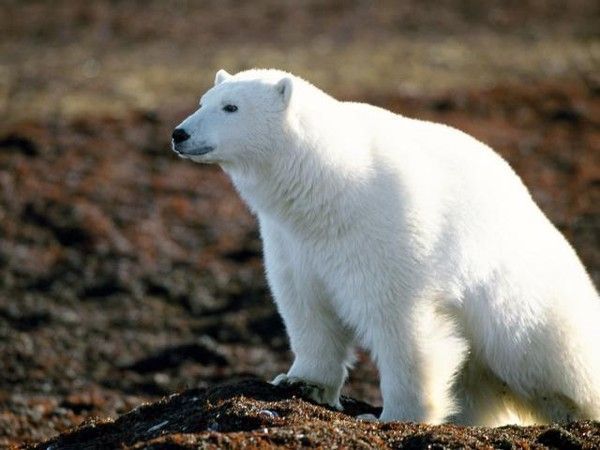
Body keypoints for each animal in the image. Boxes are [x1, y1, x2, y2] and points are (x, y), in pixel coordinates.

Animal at [172, 67, 600, 426]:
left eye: (231, 106)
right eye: (203, 101)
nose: (179, 134)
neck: (330, 191)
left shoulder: (387, 230)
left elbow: (401, 324)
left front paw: (394, 416)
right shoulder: (290, 241)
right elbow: (306, 307)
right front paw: (300, 382)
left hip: (526, 306)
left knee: (557, 358)